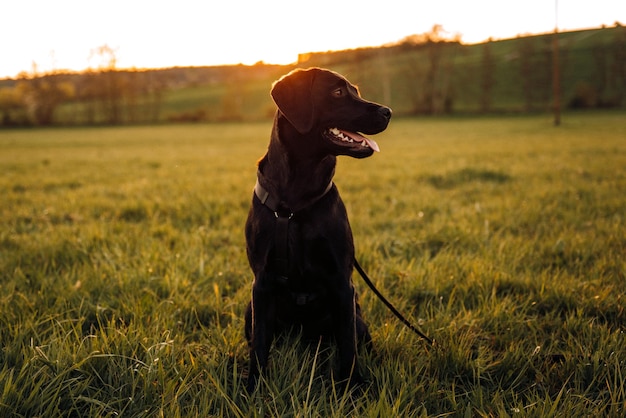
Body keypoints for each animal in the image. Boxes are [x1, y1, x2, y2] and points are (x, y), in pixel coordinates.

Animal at [244, 67, 390, 390]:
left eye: (356, 90)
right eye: (337, 92)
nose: (388, 111)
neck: (295, 202)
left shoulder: (341, 284)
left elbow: (347, 347)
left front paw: (351, 389)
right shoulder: (262, 283)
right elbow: (259, 345)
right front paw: (253, 388)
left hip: (356, 314)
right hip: (249, 310)